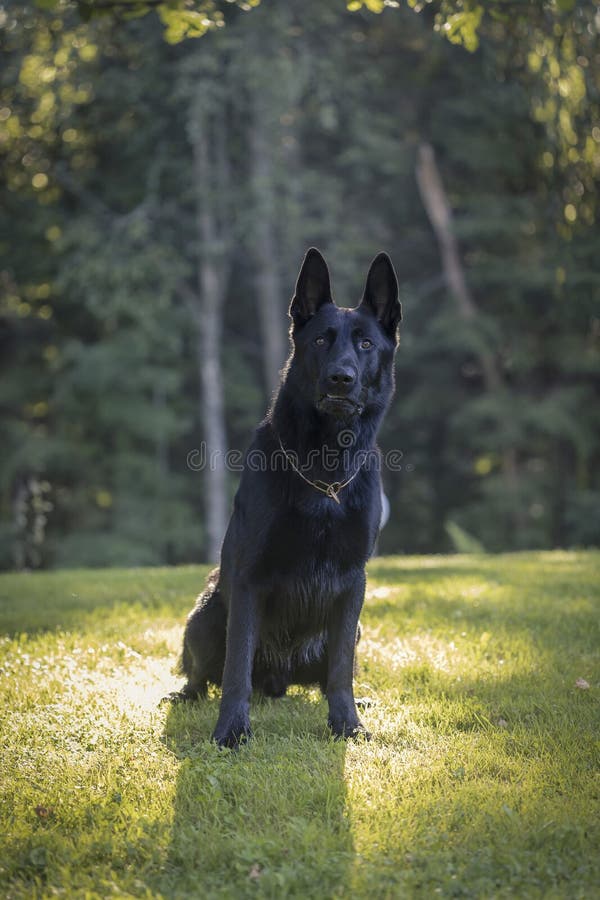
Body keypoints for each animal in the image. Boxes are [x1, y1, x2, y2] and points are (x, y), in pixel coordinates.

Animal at [172, 248, 398, 744]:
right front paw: (231, 733)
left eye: (366, 344)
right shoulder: (248, 580)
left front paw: (347, 725)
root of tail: (279, 681)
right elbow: (236, 669)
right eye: (321, 340)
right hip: (205, 615)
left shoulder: (353, 584)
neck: (325, 474)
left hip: (351, 630)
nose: (340, 379)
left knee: (331, 673)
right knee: (202, 674)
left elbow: (340, 671)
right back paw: (185, 695)